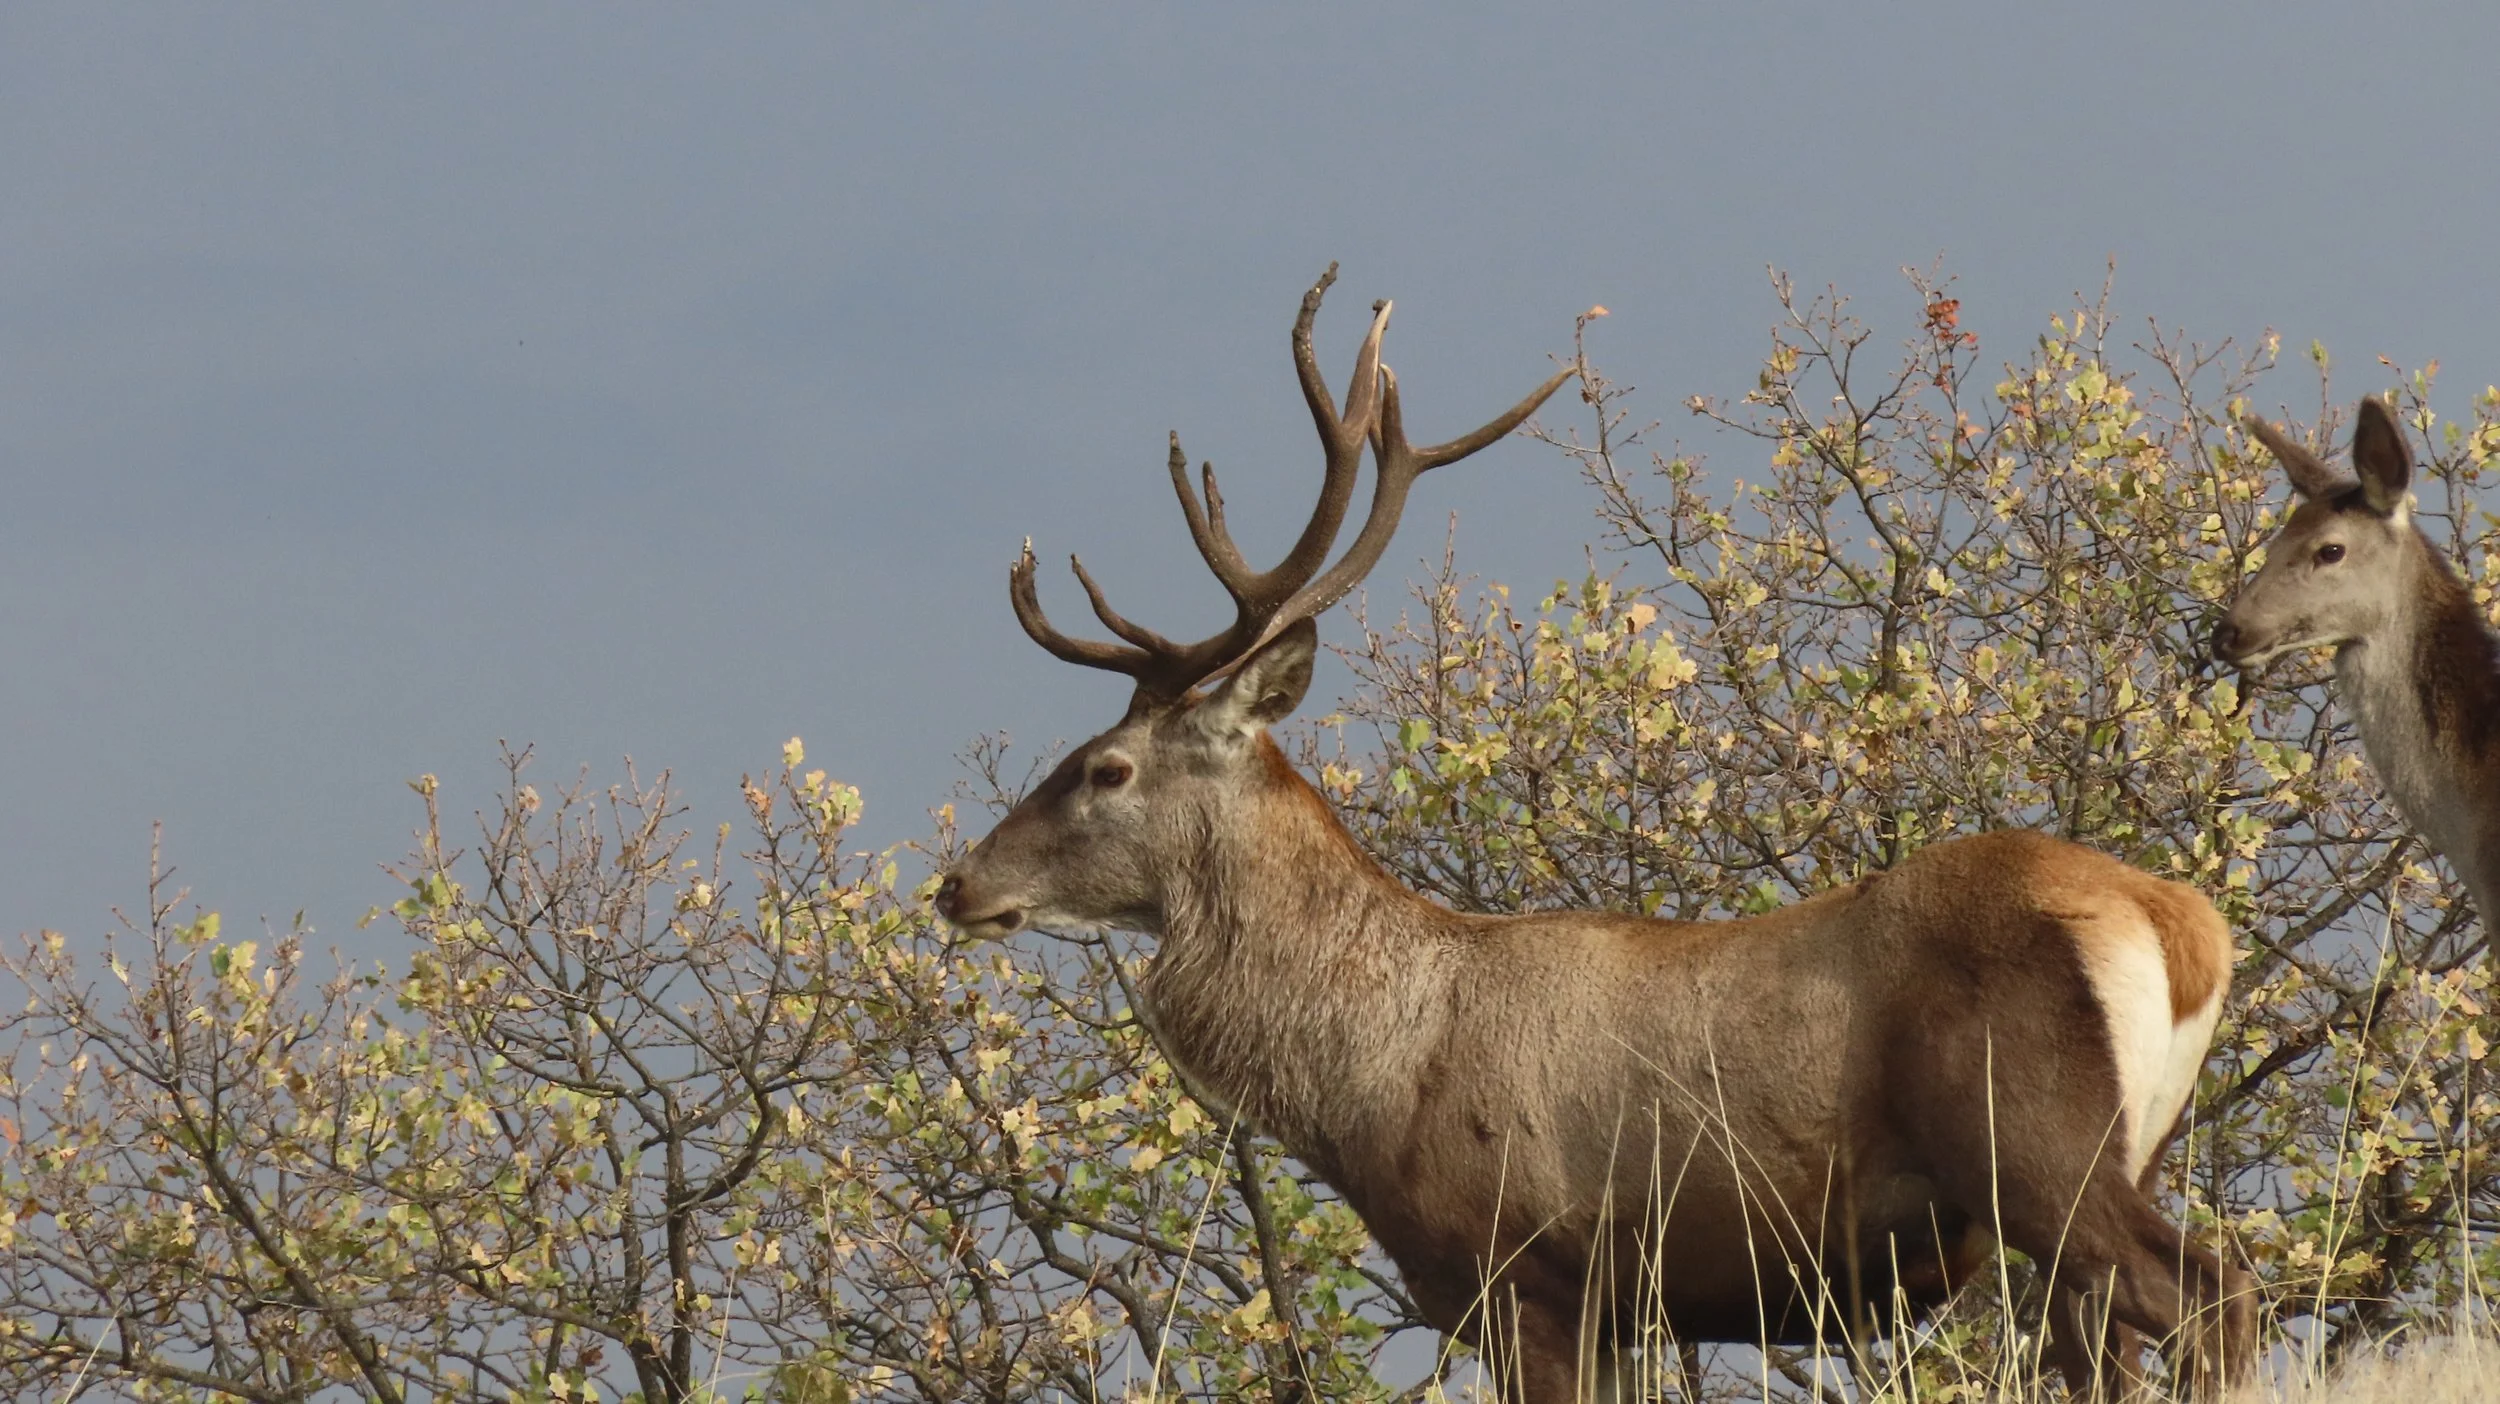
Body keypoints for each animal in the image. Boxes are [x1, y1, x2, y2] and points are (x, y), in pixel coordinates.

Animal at [935, 267, 2255, 1401]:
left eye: (1103, 767)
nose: (957, 886)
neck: (1372, 1079)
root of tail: (2181, 927)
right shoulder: (1624, 1308)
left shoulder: (1523, 1270)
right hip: (2119, 1160)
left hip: (2032, 1143)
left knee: (2213, 1291)